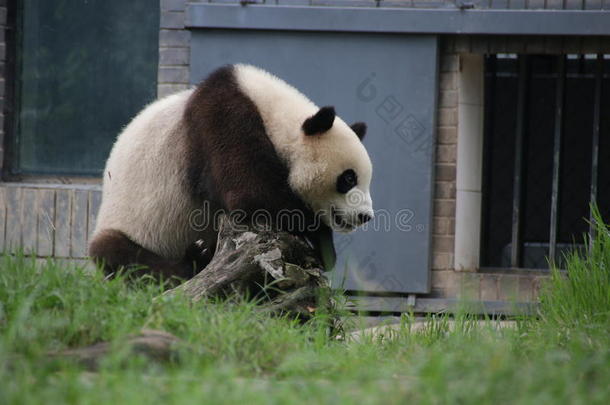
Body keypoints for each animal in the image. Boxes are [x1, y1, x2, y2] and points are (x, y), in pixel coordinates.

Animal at [88, 64, 372, 280]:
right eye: (349, 178)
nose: (365, 216)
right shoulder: (221, 115)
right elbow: (251, 192)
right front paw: (318, 237)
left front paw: (324, 252)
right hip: (134, 226)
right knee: (120, 255)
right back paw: (195, 258)